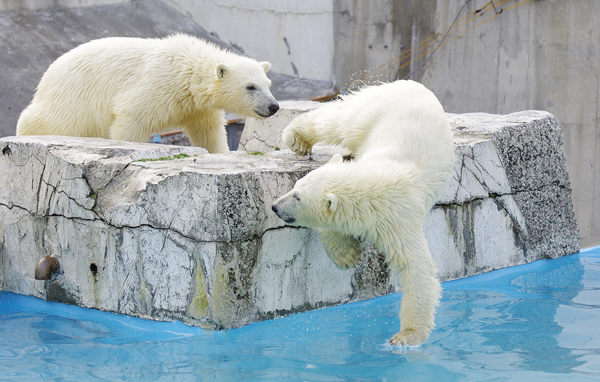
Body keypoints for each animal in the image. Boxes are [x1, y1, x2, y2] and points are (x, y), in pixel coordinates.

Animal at [15, 34, 278, 154]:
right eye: (250, 86)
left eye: (268, 84)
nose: (273, 106)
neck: (188, 68)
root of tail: (45, 78)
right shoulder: (158, 84)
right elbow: (131, 118)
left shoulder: (196, 106)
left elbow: (208, 131)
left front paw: (219, 151)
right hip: (68, 103)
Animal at [270, 80, 452, 346]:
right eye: (295, 186)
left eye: (297, 196)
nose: (275, 206)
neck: (378, 181)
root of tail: (410, 82)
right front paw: (347, 255)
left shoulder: (400, 219)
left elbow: (416, 269)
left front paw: (405, 337)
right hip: (372, 110)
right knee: (338, 120)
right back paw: (297, 138)